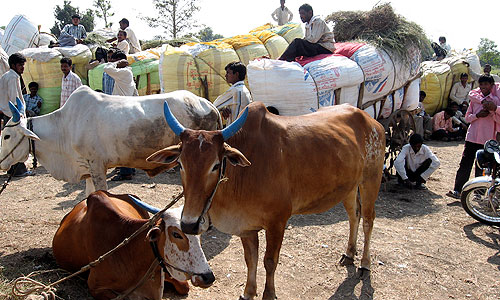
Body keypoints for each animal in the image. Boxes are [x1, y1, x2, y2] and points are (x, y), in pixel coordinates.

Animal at [0, 86, 219, 195]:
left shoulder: (97, 165)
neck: (64, 126)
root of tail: (209, 105)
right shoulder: (87, 168)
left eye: (7, 135)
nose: (1, 163)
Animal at [145, 101, 386, 300]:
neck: (242, 175)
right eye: (180, 164)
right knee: (353, 216)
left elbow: (269, 261)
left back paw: (365, 263)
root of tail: (370, 120)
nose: (189, 224)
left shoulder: (277, 222)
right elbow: (250, 259)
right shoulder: (246, 227)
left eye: (215, 165)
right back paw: (349, 253)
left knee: (367, 220)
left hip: (371, 179)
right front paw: (248, 293)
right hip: (349, 187)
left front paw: (268, 294)